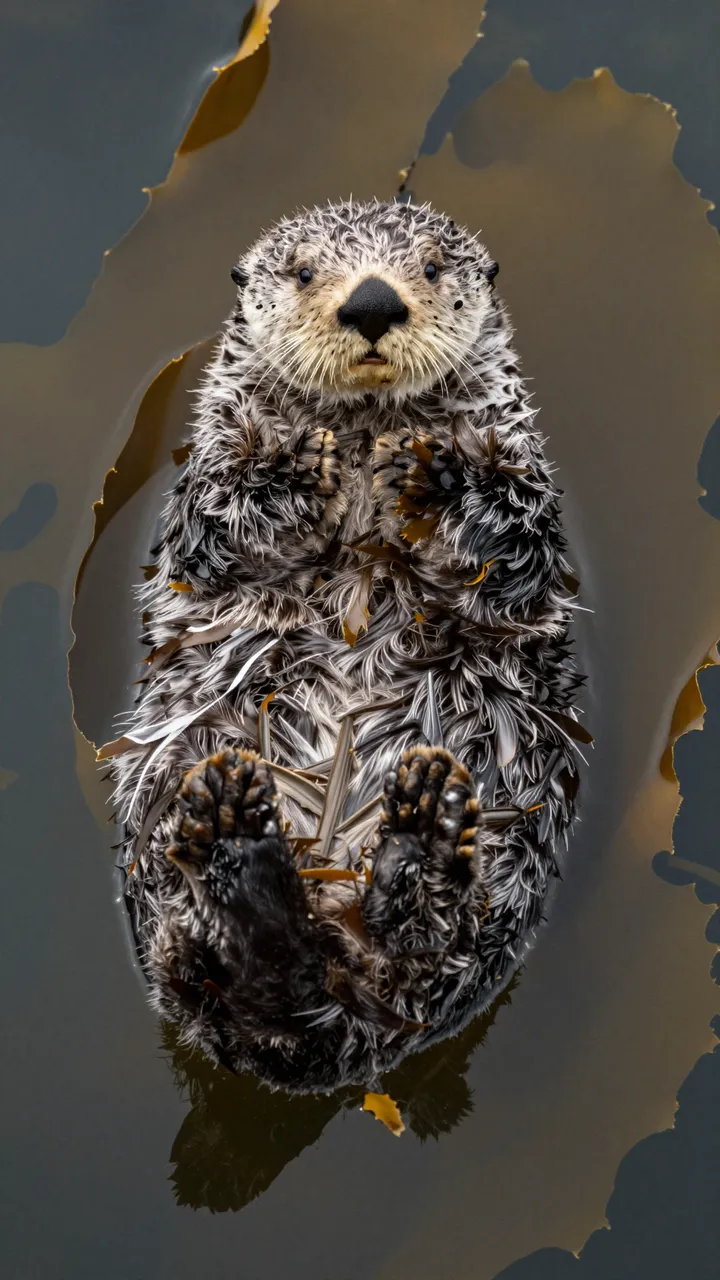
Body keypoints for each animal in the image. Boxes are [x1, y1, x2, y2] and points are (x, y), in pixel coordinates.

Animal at [107, 199, 584, 1092]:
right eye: (302, 272)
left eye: (430, 267)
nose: (371, 302)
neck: (366, 429)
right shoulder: (199, 492)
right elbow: (214, 529)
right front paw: (294, 467)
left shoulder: (526, 492)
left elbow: (518, 546)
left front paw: (437, 474)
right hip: (168, 845)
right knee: (204, 961)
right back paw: (236, 841)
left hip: (499, 866)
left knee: (429, 939)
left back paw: (421, 834)